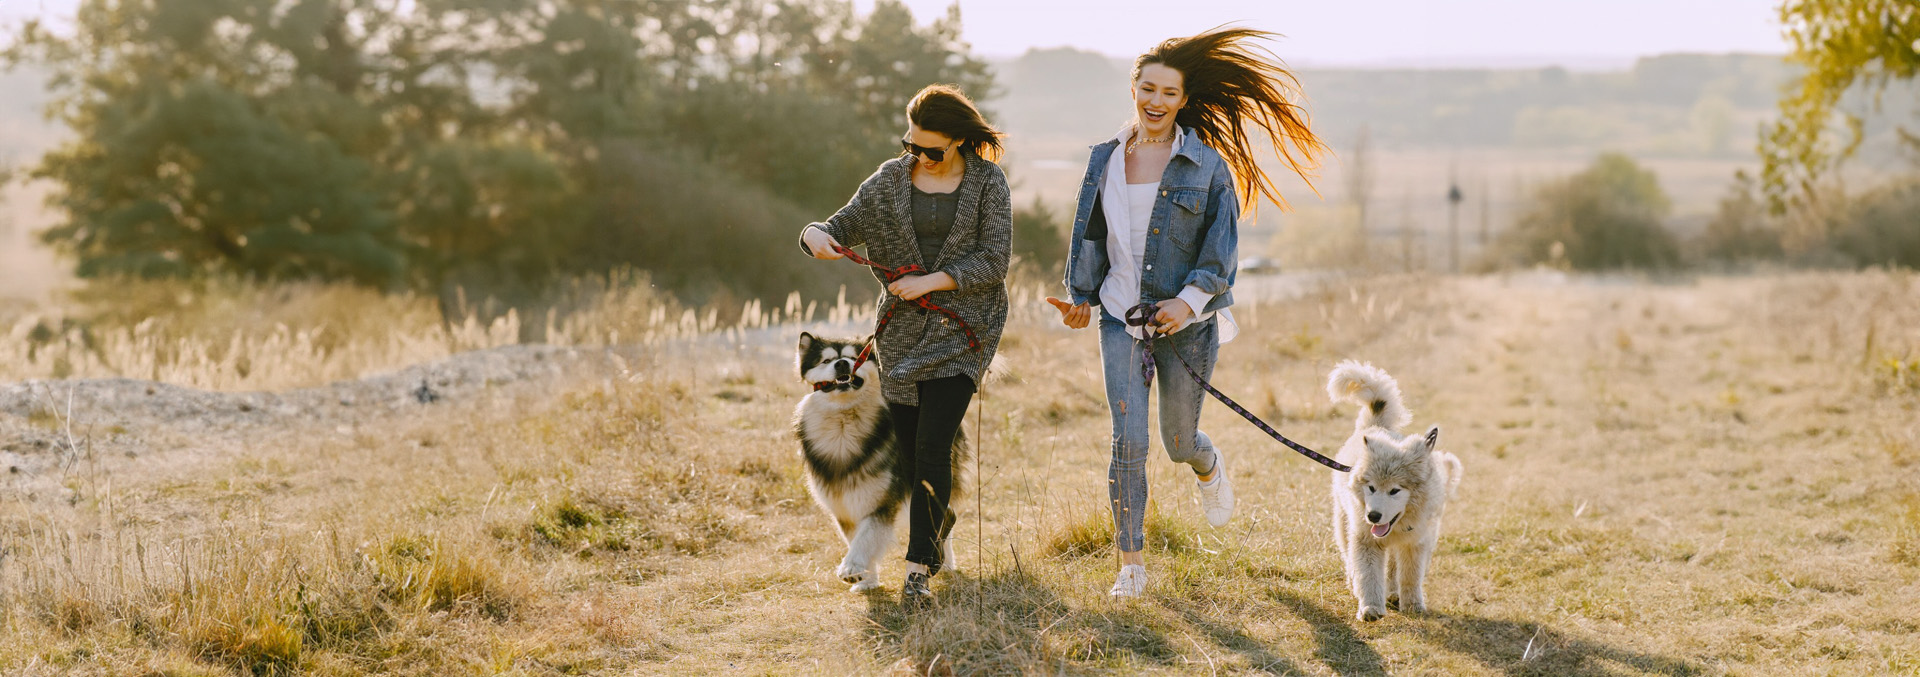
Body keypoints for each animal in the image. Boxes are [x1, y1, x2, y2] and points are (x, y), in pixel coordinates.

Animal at [791, 329, 967, 586]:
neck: (843, 423)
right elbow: (855, 536)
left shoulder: (882, 500)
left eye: (855, 358)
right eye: (826, 360)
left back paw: (946, 564)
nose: (842, 363)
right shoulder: (841, 504)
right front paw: (867, 580)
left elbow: (867, 534)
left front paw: (852, 566)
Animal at [1328, 360, 1459, 621]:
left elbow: (1410, 576)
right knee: (1350, 559)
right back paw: (1356, 585)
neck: (1397, 525)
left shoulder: (1415, 543)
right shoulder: (1366, 540)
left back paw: (1392, 593)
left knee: (1392, 570)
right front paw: (1370, 608)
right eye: (1371, 487)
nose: (1373, 516)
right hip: (1343, 522)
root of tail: (1375, 426)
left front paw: (1412, 605)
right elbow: (1368, 574)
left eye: (1395, 491)